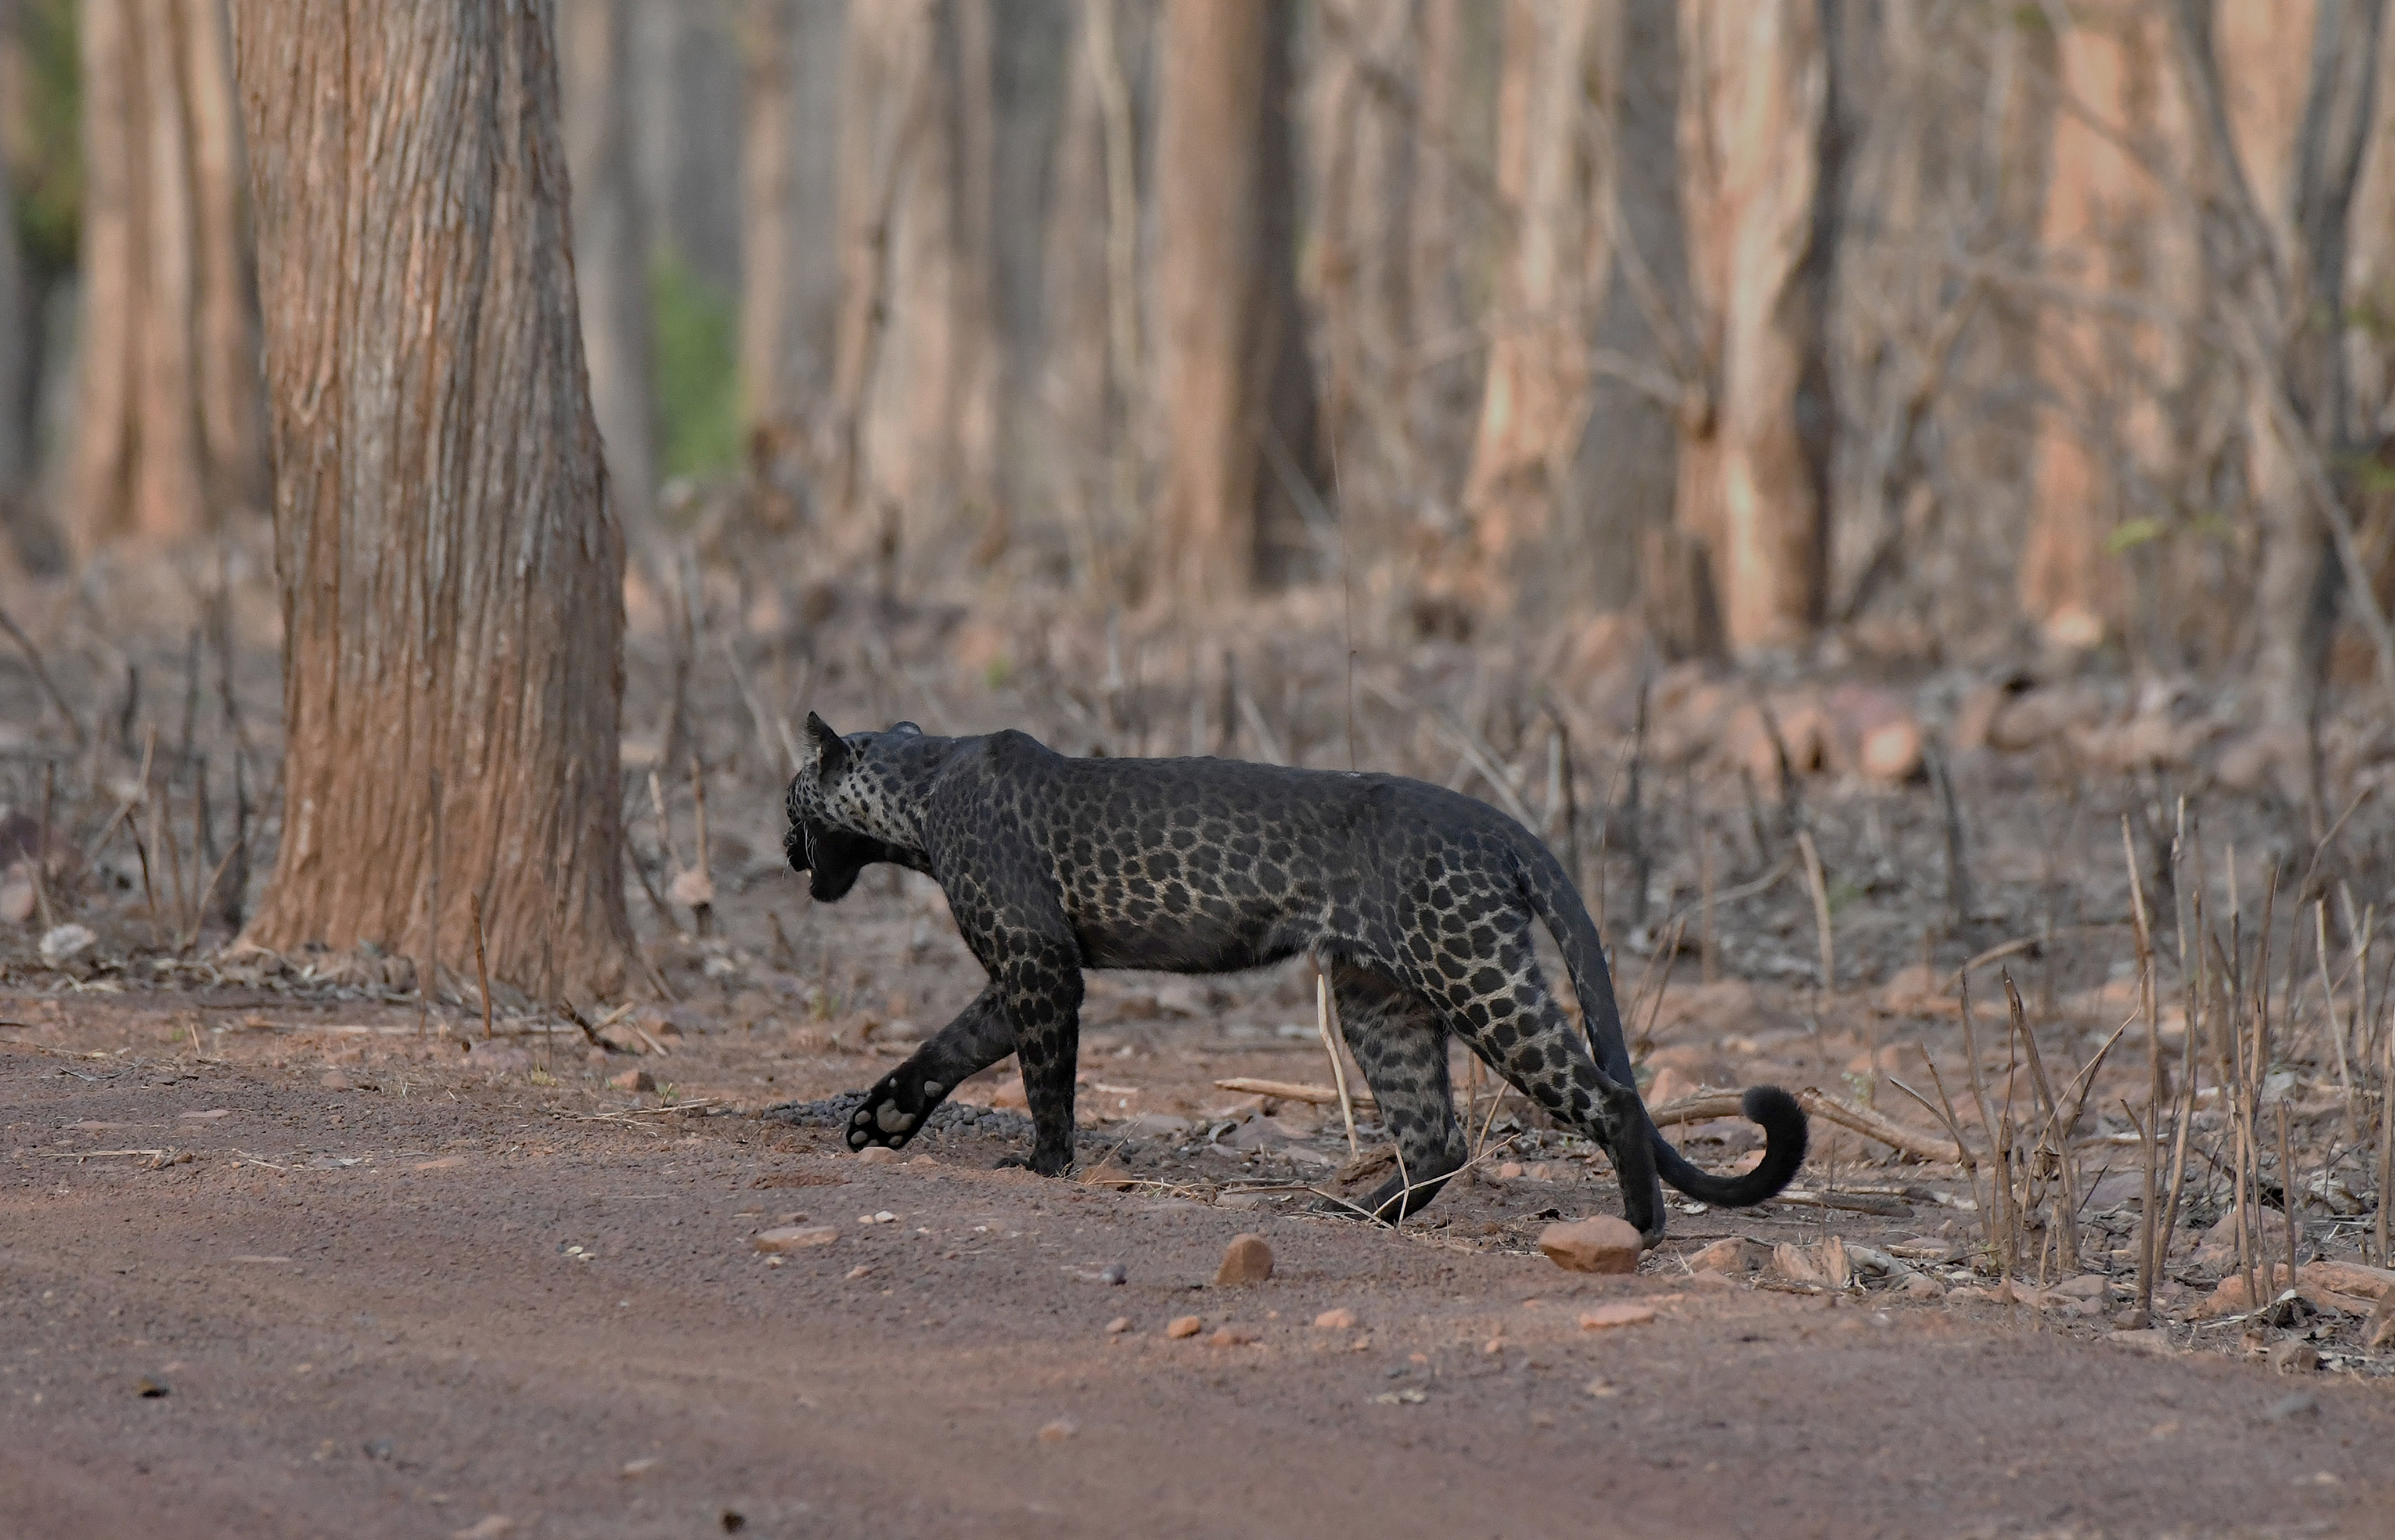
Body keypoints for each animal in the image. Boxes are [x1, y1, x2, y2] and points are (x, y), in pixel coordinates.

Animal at [775, 713, 1801, 1245]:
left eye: (790, 799)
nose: (782, 848)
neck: (918, 790)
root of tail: (1498, 823)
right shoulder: (1022, 969)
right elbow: (952, 1044)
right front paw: (879, 1120)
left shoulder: (1038, 960)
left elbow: (1043, 1076)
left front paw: (1043, 1167)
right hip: (1380, 999)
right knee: (1436, 1136)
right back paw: (1352, 1212)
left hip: (1472, 971)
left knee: (1605, 1097)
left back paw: (1640, 1228)